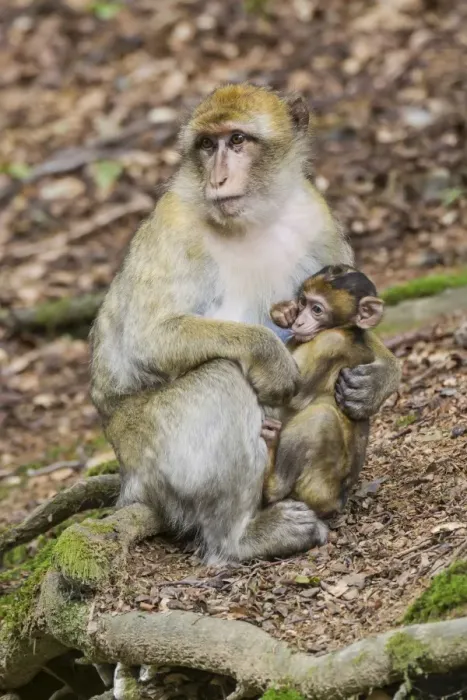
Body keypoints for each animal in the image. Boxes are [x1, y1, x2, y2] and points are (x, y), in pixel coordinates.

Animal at [262, 264, 384, 518]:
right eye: (303, 302)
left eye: (317, 309)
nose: (299, 322)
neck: (347, 330)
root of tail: (337, 501)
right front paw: (283, 312)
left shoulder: (330, 342)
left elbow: (290, 393)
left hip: (318, 484)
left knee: (321, 416)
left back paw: (272, 482)